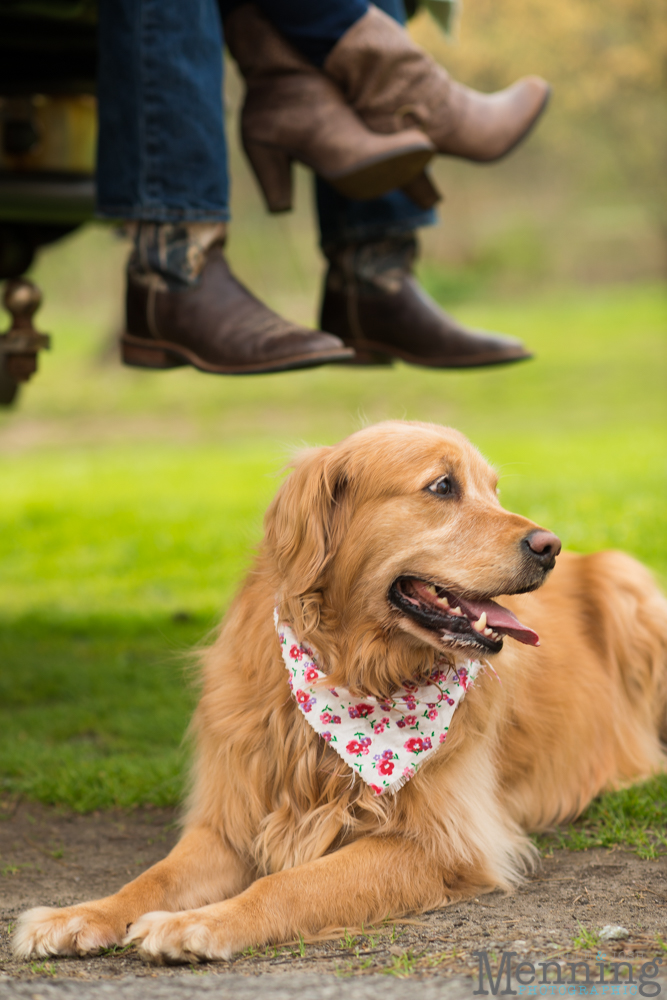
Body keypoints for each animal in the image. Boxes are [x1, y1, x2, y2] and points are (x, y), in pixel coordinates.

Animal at [14, 424, 667, 968]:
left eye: (493, 488)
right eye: (443, 486)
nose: (550, 545)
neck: (354, 674)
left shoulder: (444, 843)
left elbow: (288, 883)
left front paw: (199, 923)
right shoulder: (229, 820)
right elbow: (152, 878)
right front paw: (78, 915)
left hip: (632, 588)